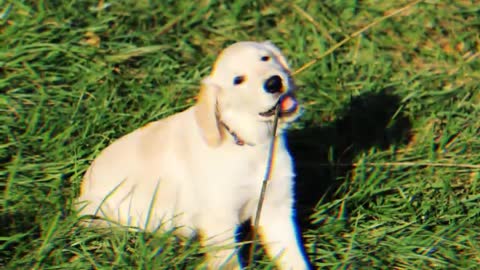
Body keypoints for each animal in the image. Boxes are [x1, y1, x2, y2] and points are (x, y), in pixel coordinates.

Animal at [78, 41, 312, 268]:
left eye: (266, 58)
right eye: (238, 80)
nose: (274, 82)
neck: (250, 144)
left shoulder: (276, 206)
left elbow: (293, 257)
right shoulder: (219, 221)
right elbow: (228, 263)